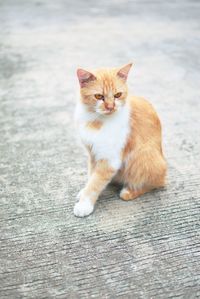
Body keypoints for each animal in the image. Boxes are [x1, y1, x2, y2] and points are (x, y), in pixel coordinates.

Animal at [72, 63, 166, 218]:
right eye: (99, 96)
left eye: (118, 95)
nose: (111, 107)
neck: (96, 120)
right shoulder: (93, 154)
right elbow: (91, 175)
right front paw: (84, 191)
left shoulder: (109, 160)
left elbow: (95, 183)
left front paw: (84, 204)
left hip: (142, 157)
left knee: (157, 183)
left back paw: (129, 191)